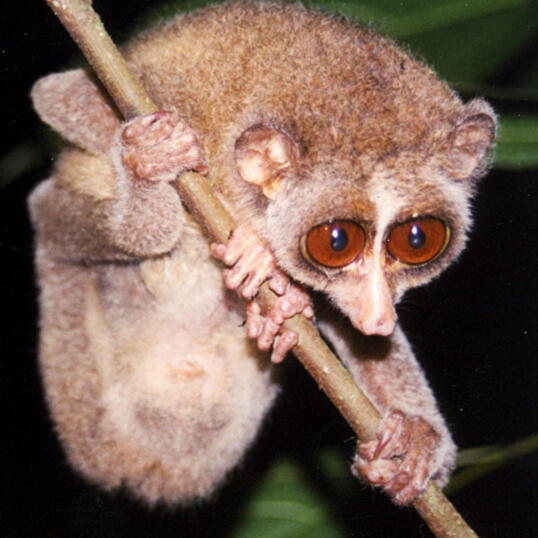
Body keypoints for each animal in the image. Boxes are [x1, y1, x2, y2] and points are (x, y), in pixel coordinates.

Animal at [28, 1, 496, 506]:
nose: (379, 318)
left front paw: (417, 442)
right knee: (58, 212)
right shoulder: (157, 91)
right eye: (336, 241)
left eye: (416, 239)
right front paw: (156, 161)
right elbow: (57, 97)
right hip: (63, 249)